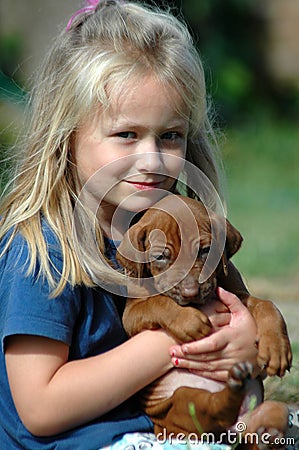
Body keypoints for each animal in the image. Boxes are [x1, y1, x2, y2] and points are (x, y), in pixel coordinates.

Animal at [117, 195, 292, 448]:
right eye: (160, 257)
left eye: (205, 250)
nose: (191, 292)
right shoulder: (131, 314)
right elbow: (159, 302)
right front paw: (189, 321)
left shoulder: (239, 295)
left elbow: (267, 306)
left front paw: (276, 349)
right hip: (181, 401)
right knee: (212, 409)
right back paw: (235, 385)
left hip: (268, 411)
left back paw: (266, 434)